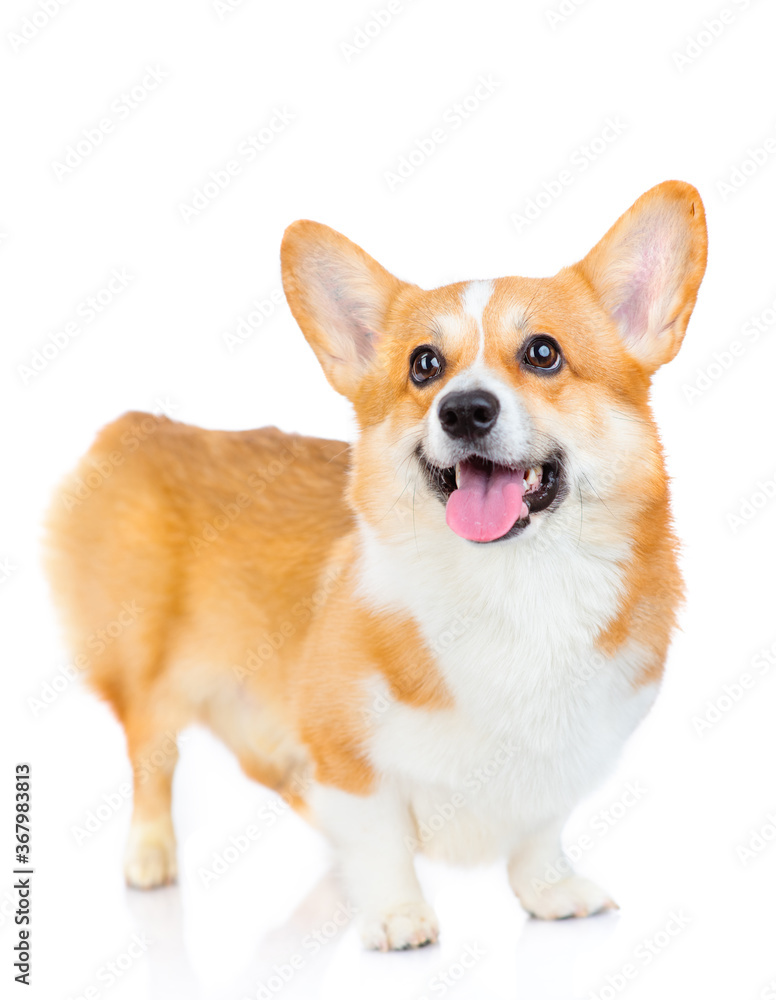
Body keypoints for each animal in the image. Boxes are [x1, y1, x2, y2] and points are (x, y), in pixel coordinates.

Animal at [45, 182, 708, 952]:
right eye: (425, 365)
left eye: (544, 353)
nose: (465, 410)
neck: (514, 585)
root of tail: (145, 428)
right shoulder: (343, 749)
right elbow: (380, 835)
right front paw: (396, 913)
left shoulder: (569, 751)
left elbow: (539, 831)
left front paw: (549, 892)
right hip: (147, 663)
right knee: (153, 755)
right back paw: (151, 853)